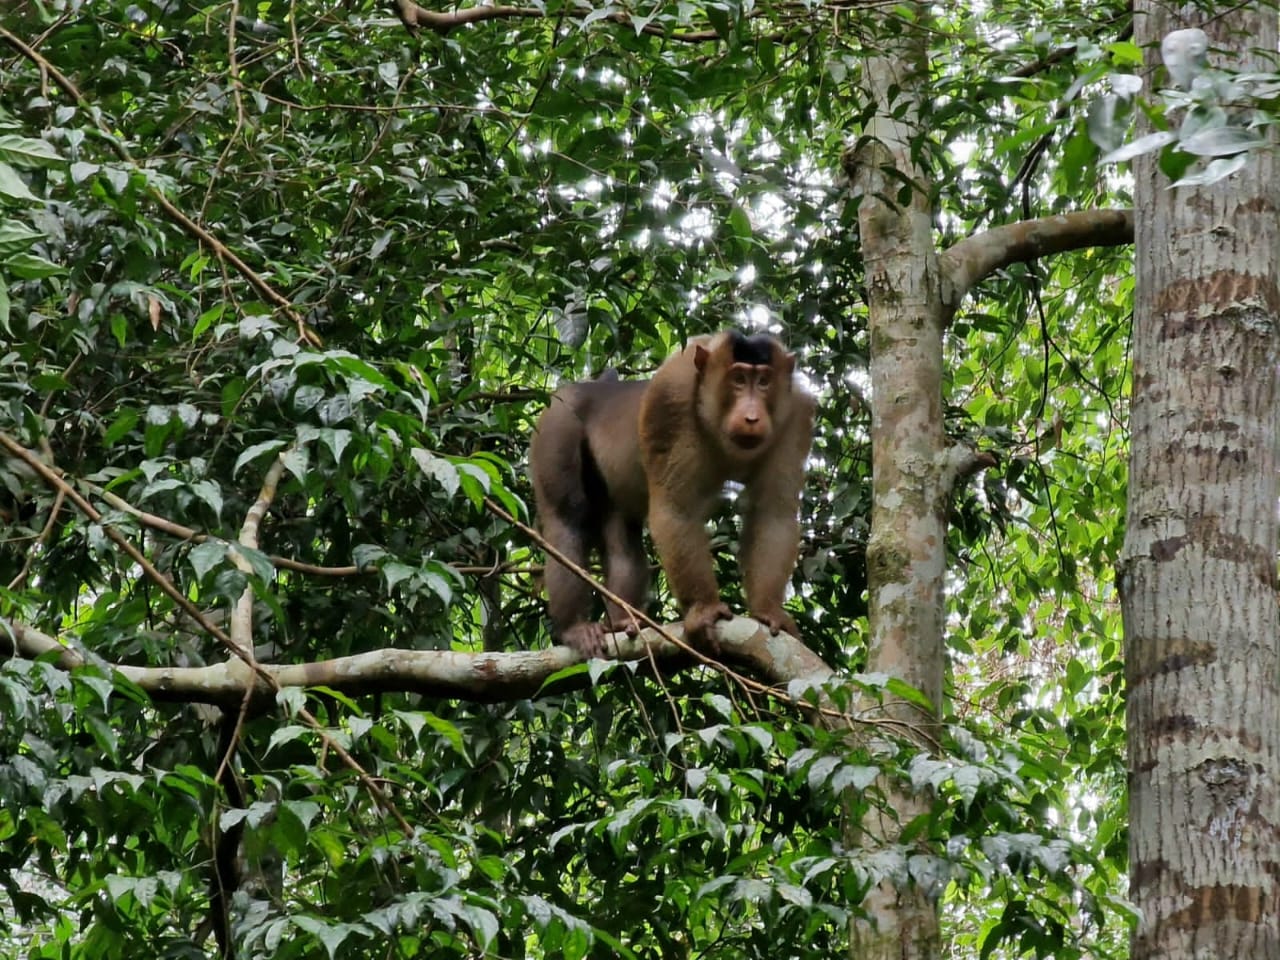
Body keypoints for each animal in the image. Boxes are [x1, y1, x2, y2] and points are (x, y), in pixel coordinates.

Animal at [527, 327, 808, 660]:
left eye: (764, 382)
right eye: (739, 379)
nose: (752, 417)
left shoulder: (795, 416)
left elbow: (774, 514)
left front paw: (768, 610)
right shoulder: (672, 395)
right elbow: (676, 508)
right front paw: (704, 609)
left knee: (622, 539)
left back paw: (622, 621)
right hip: (557, 424)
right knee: (567, 518)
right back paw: (574, 627)